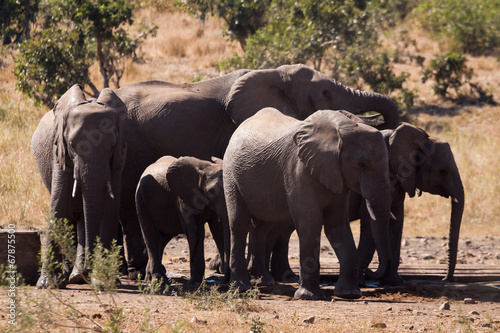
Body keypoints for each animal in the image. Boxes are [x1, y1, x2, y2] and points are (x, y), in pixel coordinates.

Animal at [32, 84, 127, 286]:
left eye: (112, 146)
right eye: (72, 145)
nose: (90, 268)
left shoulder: (120, 156)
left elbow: (110, 207)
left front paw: (102, 282)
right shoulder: (58, 150)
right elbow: (59, 204)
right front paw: (47, 285)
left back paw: (77, 276)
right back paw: (72, 276)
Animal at [133, 154, 227, 284]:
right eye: (212, 191)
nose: (226, 279)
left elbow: (218, 230)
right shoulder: (184, 199)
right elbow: (196, 232)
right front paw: (195, 282)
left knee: (162, 239)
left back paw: (151, 278)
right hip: (141, 201)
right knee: (151, 236)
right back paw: (158, 281)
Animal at [224, 107, 394, 300]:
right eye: (362, 165)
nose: (371, 272)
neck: (340, 129)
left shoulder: (338, 177)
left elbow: (337, 227)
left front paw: (349, 294)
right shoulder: (298, 170)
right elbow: (310, 224)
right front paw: (309, 296)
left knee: (262, 227)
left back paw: (263, 283)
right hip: (230, 172)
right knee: (239, 223)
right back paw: (240, 288)